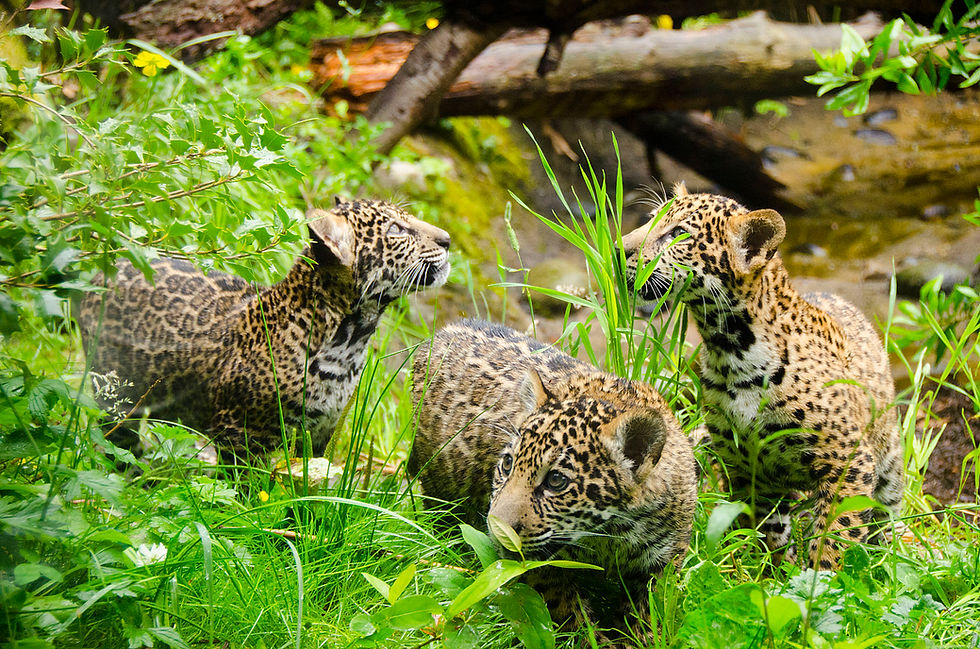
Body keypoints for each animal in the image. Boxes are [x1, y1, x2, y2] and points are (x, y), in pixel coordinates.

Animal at [77, 199, 451, 460]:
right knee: (116, 440)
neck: (348, 340)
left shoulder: (321, 432)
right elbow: (244, 492)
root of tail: (103, 269)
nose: (447, 239)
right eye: (397, 231)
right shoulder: (240, 433)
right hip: (115, 391)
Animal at [409, 319, 697, 627]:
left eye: (556, 481)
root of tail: (445, 330)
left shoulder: (664, 562)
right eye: (508, 464)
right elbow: (567, 610)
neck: (611, 535)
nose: (497, 530)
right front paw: (591, 634)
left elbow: (649, 613)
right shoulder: (538, 565)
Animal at [620, 185, 904, 569]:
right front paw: (776, 572)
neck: (730, 347)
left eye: (679, 234)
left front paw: (822, 577)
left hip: (888, 453)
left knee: (889, 510)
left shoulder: (848, 460)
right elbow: (766, 528)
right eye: (650, 219)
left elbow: (836, 532)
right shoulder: (745, 466)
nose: (619, 248)